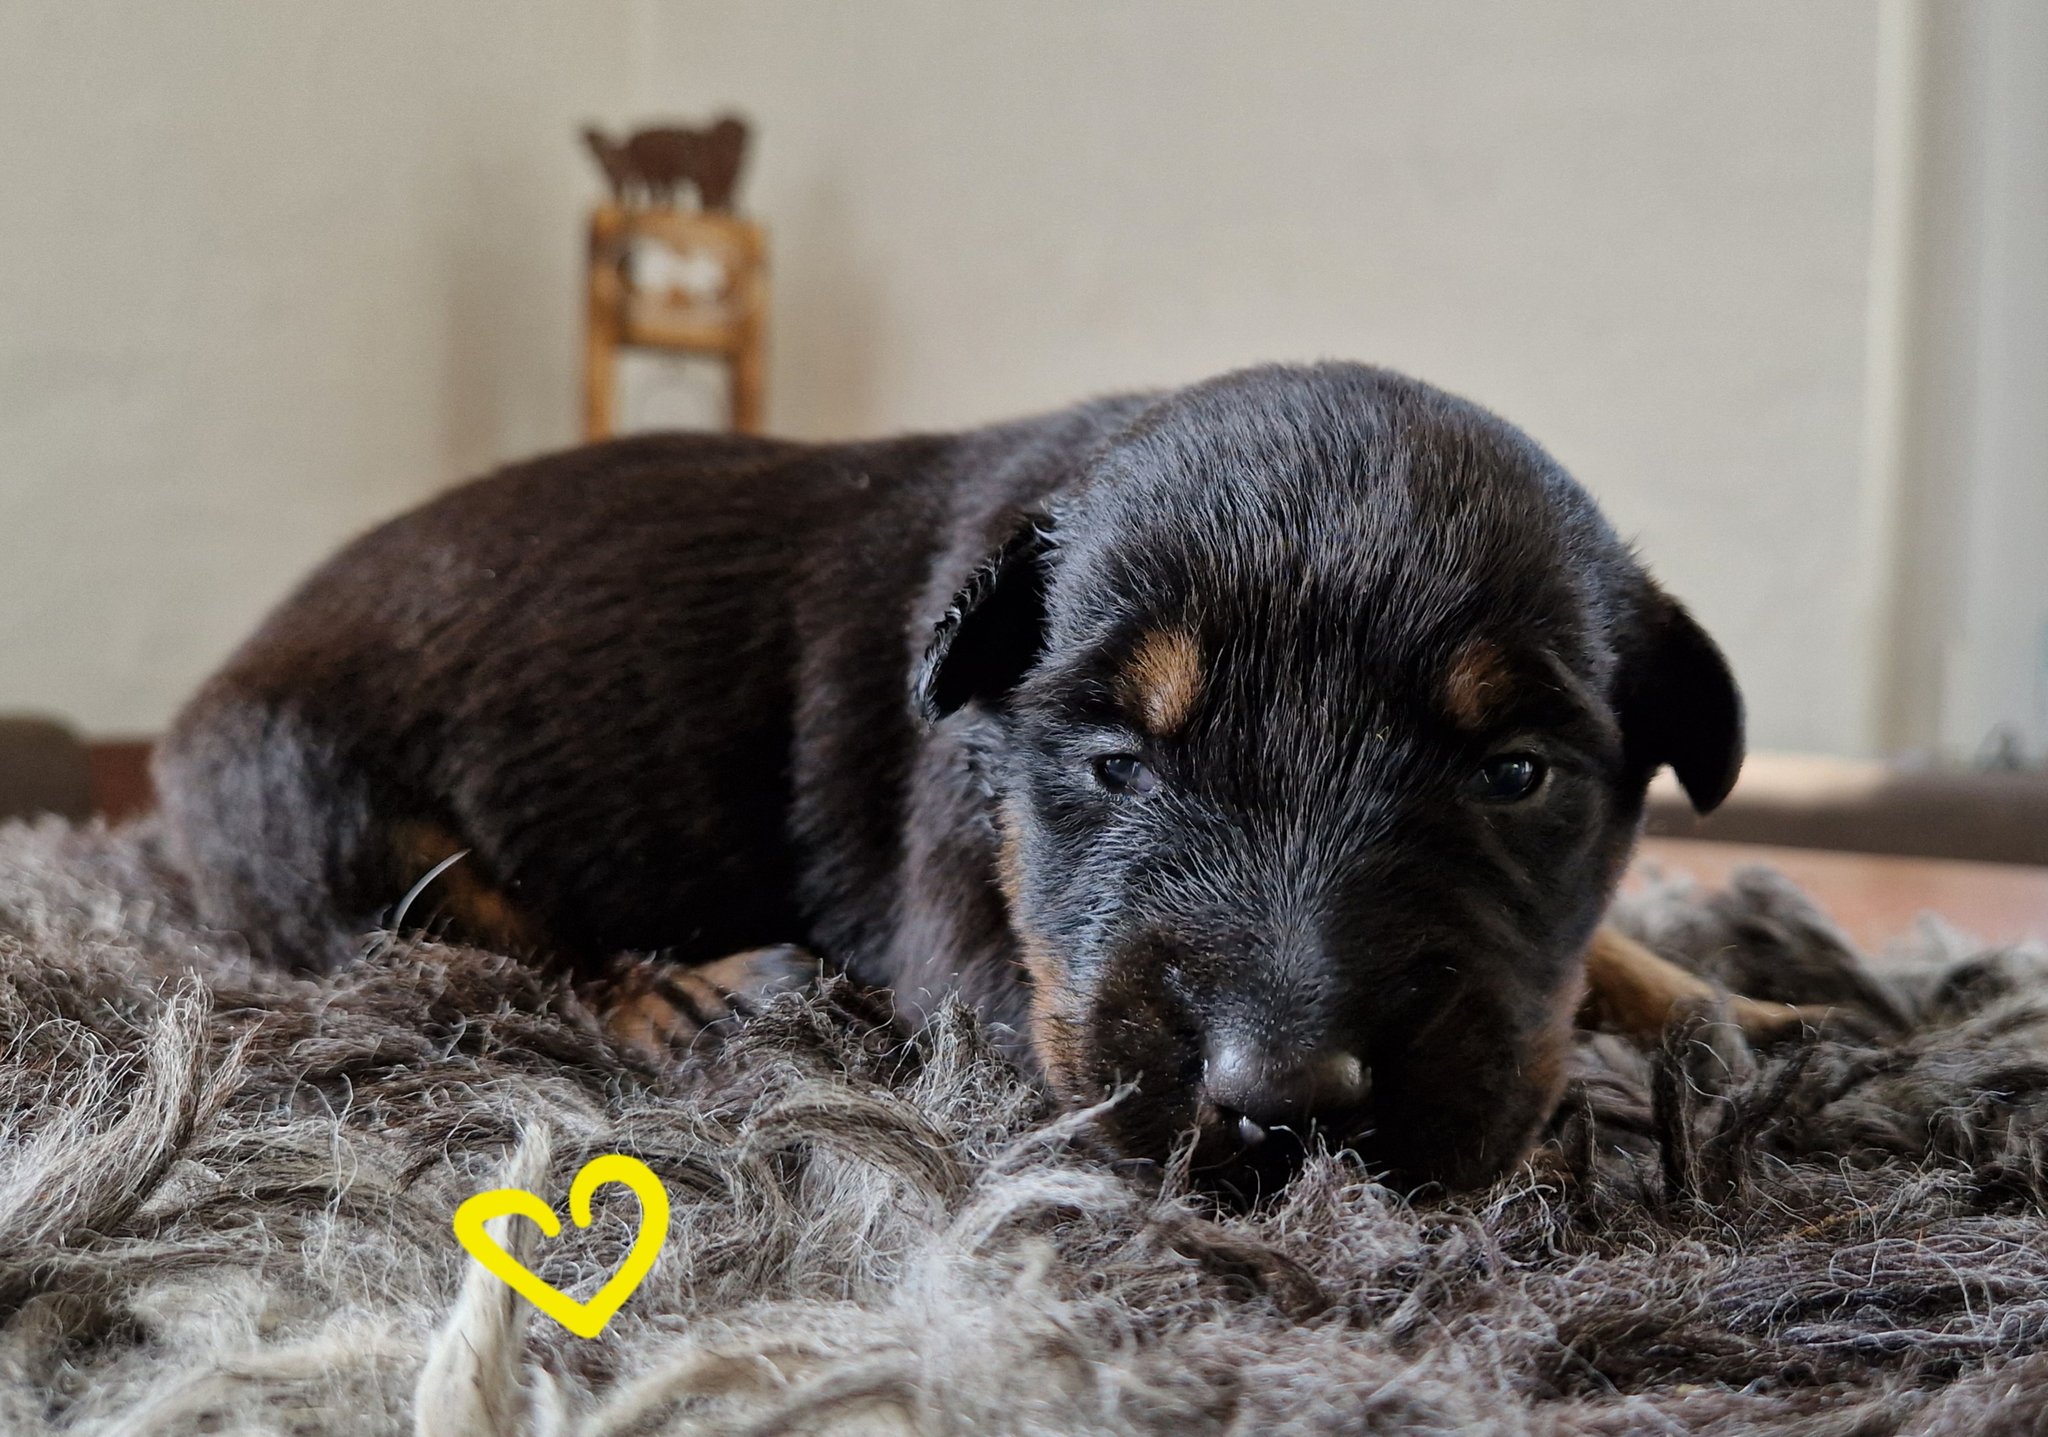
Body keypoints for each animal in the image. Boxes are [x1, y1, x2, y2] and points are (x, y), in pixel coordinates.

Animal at [157, 362, 1780, 1192]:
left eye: (1516, 774)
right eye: (1113, 764)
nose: (1283, 1102)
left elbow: (1615, 964)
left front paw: (1745, 1008)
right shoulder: (967, 925)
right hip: (311, 794)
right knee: (459, 951)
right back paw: (690, 990)